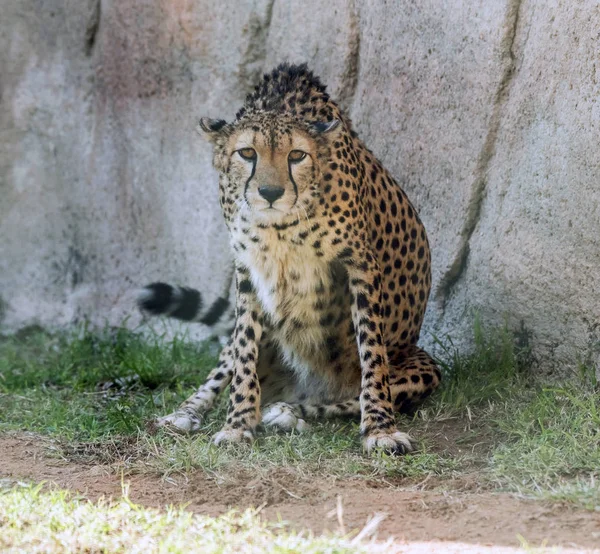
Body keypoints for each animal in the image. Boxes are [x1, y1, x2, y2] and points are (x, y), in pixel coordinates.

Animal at [141, 64, 440, 452]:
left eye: (297, 156)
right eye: (247, 153)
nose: (270, 192)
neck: (282, 226)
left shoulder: (360, 265)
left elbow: (372, 353)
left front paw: (380, 429)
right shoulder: (248, 269)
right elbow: (244, 351)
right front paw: (237, 424)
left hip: (424, 366)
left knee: (340, 400)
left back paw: (288, 411)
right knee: (223, 368)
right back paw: (186, 413)